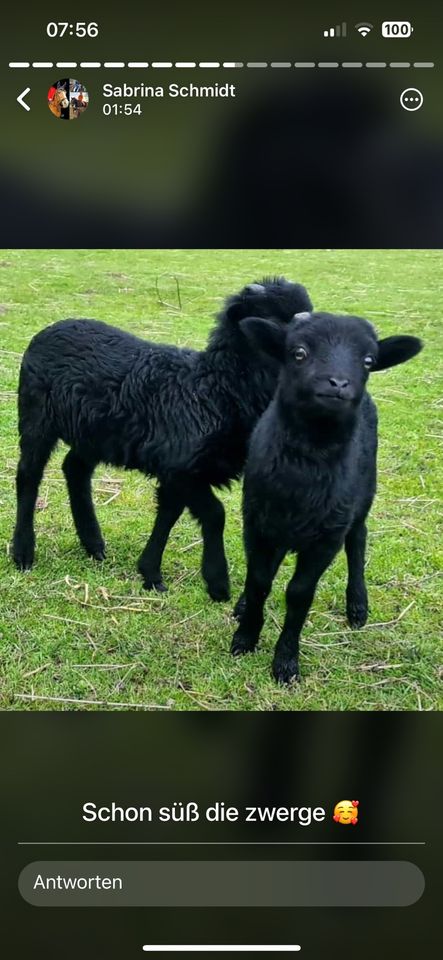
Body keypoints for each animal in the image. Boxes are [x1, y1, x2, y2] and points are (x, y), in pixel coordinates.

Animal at [13, 274, 312, 596]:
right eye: (274, 320)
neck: (215, 387)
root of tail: (49, 329)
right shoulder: (181, 467)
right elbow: (215, 514)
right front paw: (217, 581)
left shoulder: (180, 471)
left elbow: (168, 514)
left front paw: (151, 573)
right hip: (36, 416)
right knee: (28, 475)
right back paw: (23, 553)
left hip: (93, 432)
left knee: (75, 469)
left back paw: (93, 544)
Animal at [232, 310, 424, 684]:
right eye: (298, 352)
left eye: (368, 361)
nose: (338, 384)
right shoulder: (257, 523)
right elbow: (259, 580)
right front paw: (245, 636)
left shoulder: (326, 538)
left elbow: (299, 594)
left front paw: (286, 662)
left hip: (361, 497)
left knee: (358, 539)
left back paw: (357, 605)